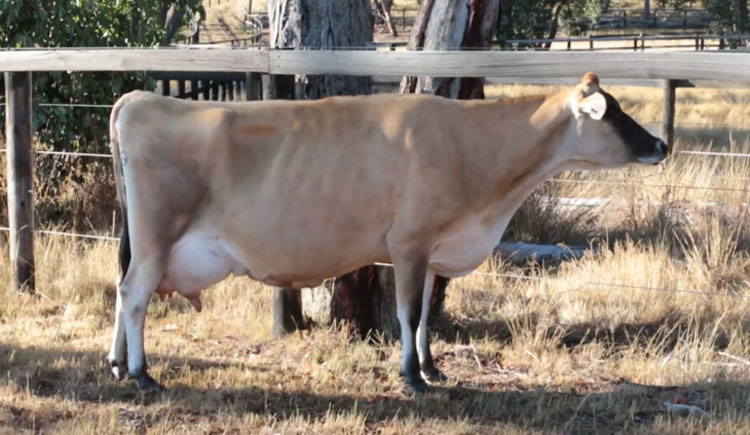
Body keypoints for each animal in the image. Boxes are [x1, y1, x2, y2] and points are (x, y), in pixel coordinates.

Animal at [106, 72, 668, 396]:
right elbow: (408, 313)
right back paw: (141, 374)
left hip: (145, 240)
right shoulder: (409, 243)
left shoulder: (434, 247)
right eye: (614, 113)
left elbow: (424, 316)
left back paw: (115, 364)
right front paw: (412, 379)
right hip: (157, 235)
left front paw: (432, 368)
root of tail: (137, 98)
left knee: (122, 289)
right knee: (134, 294)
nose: (661, 144)